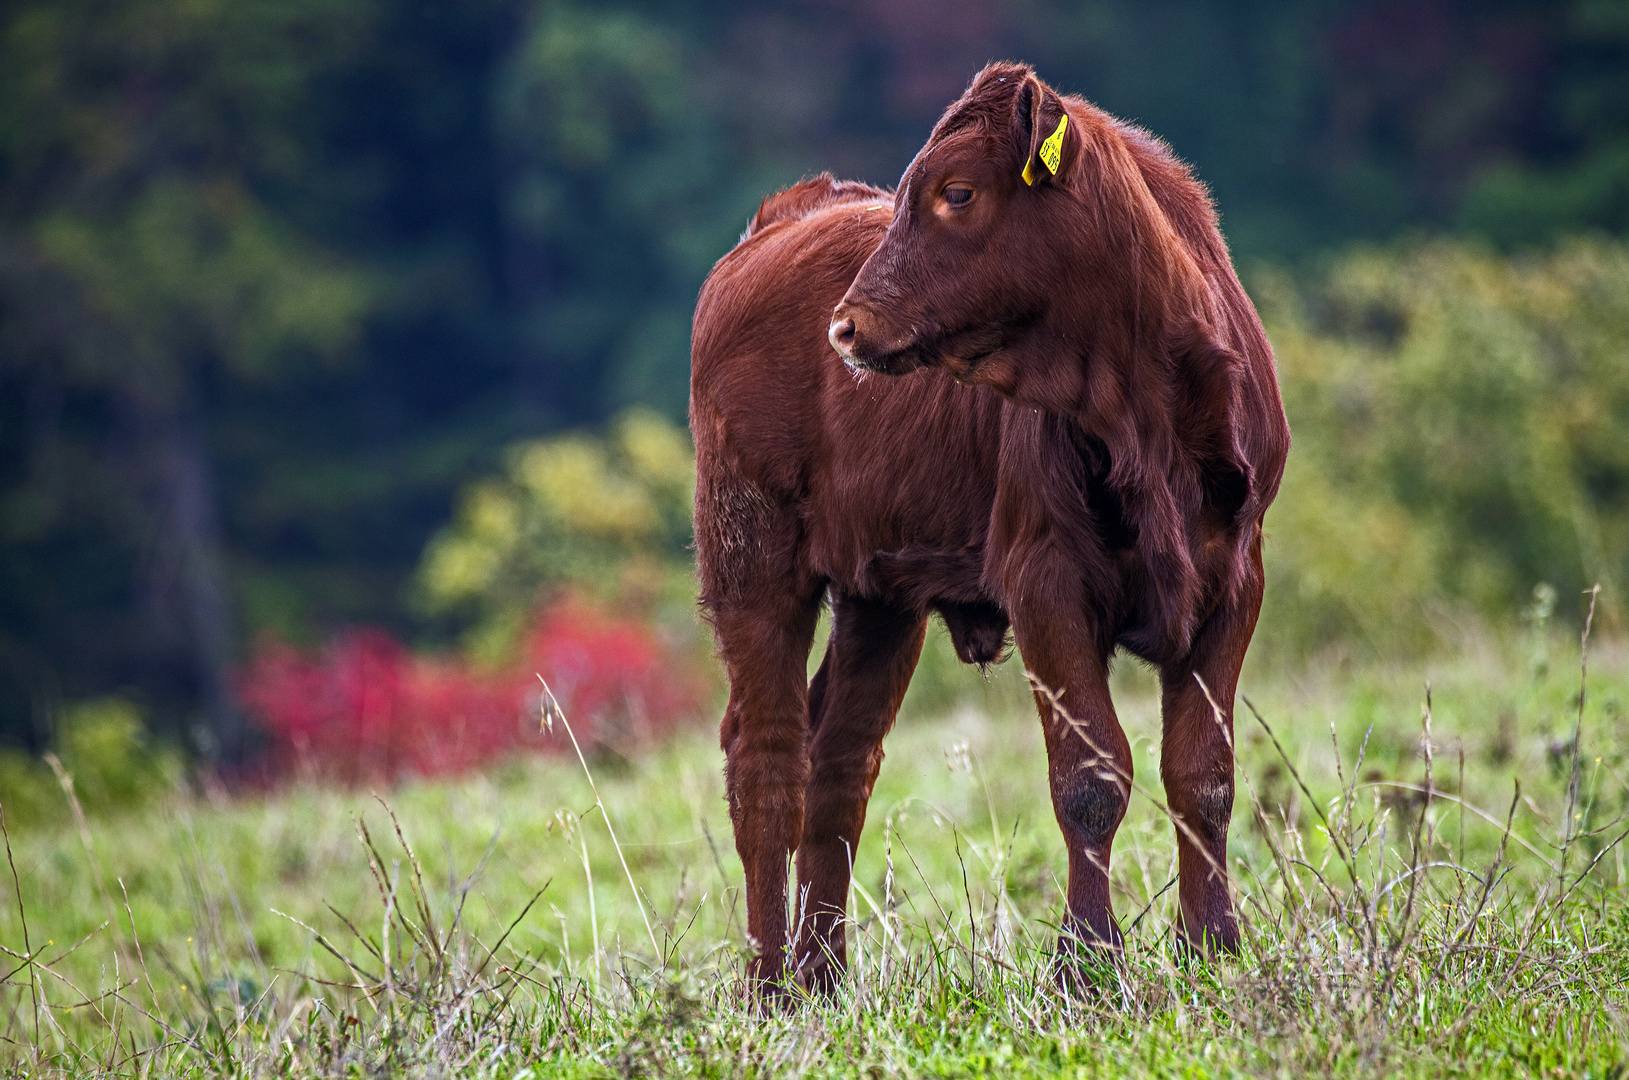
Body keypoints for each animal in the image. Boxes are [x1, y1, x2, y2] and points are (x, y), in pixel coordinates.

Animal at [687, 63, 1283, 1003]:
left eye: (956, 192)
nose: (846, 326)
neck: (1145, 412)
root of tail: (782, 219)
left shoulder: (1233, 580)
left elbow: (1203, 775)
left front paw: (1213, 948)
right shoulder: (1045, 580)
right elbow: (1090, 775)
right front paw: (1086, 962)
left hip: (878, 593)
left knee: (839, 765)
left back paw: (824, 977)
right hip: (750, 556)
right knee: (766, 761)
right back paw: (770, 984)